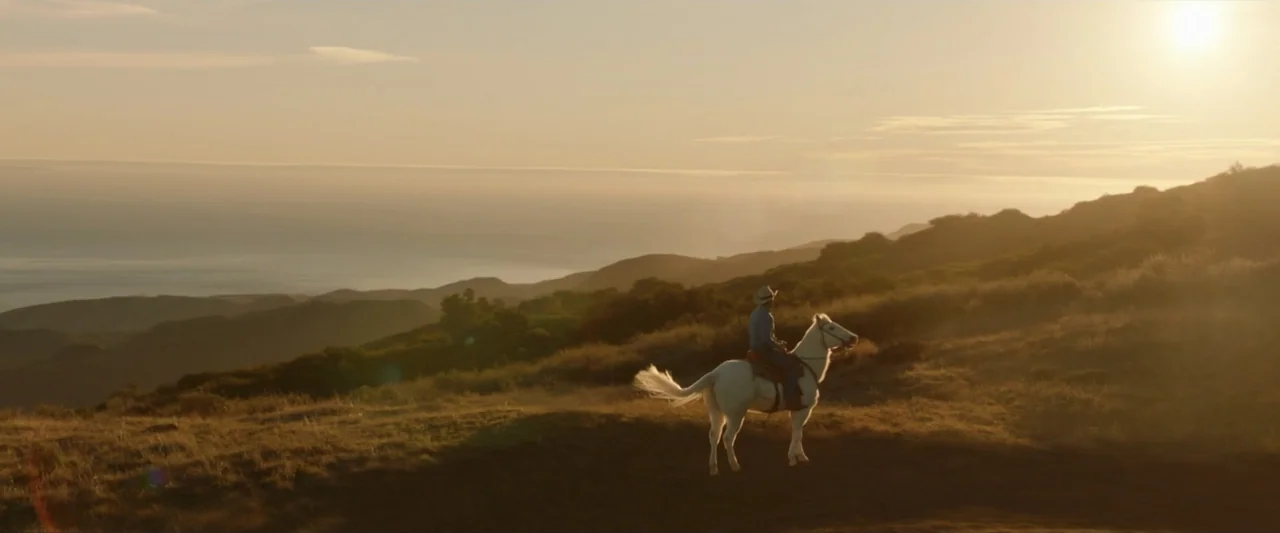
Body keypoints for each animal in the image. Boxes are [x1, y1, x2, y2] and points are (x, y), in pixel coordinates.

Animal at [632, 312, 859, 475]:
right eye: (831, 327)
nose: (854, 337)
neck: (806, 366)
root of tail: (716, 373)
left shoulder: (797, 410)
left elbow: (798, 432)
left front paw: (799, 456)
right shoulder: (803, 409)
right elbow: (797, 433)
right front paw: (794, 459)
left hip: (717, 412)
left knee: (713, 436)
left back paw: (714, 468)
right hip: (736, 414)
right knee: (727, 438)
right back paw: (735, 465)